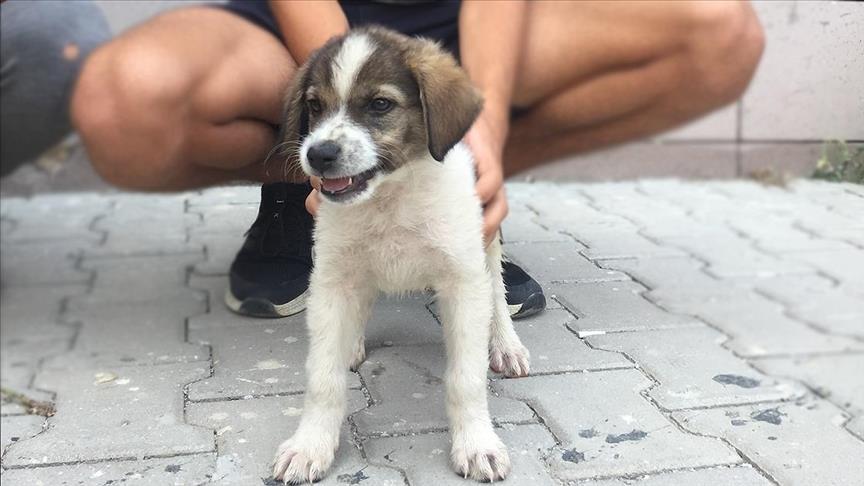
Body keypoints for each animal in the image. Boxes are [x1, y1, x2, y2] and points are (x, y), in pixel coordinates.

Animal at [274, 26, 528, 482]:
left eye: (380, 104)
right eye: (315, 106)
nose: (318, 155)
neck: (389, 198)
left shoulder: (462, 282)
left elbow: (466, 378)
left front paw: (476, 443)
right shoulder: (332, 281)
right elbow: (322, 378)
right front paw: (310, 445)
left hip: (485, 241)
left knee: (496, 291)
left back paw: (505, 344)